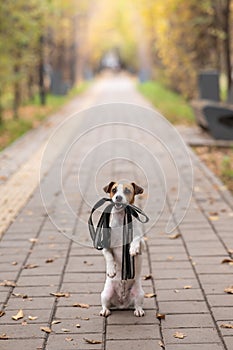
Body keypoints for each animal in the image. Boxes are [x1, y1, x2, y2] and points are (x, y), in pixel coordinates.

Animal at [99, 183, 145, 318]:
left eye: (127, 190)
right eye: (114, 190)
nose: (118, 197)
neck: (121, 219)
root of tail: (122, 304)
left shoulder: (142, 244)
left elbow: (137, 239)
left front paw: (133, 248)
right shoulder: (105, 247)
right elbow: (109, 257)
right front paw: (111, 270)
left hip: (140, 293)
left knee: (137, 304)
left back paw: (138, 310)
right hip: (105, 293)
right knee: (106, 304)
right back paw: (105, 310)